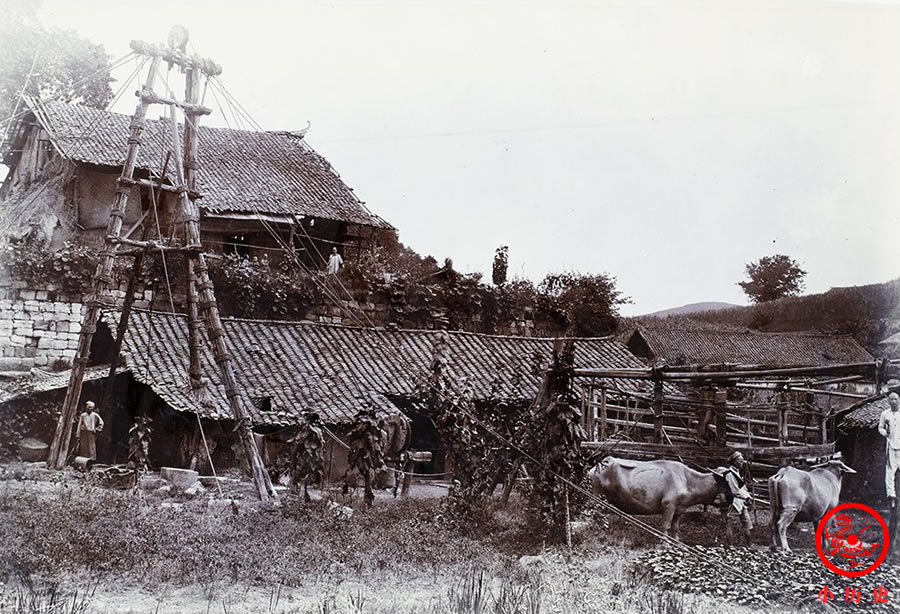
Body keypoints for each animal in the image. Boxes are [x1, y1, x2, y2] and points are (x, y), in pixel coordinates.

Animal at [592, 458, 724, 540]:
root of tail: (601, 464)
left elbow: (675, 528)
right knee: (596, 515)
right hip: (597, 498)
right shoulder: (668, 505)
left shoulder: (679, 509)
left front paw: (676, 543)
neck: (687, 480)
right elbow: (665, 526)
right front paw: (665, 546)